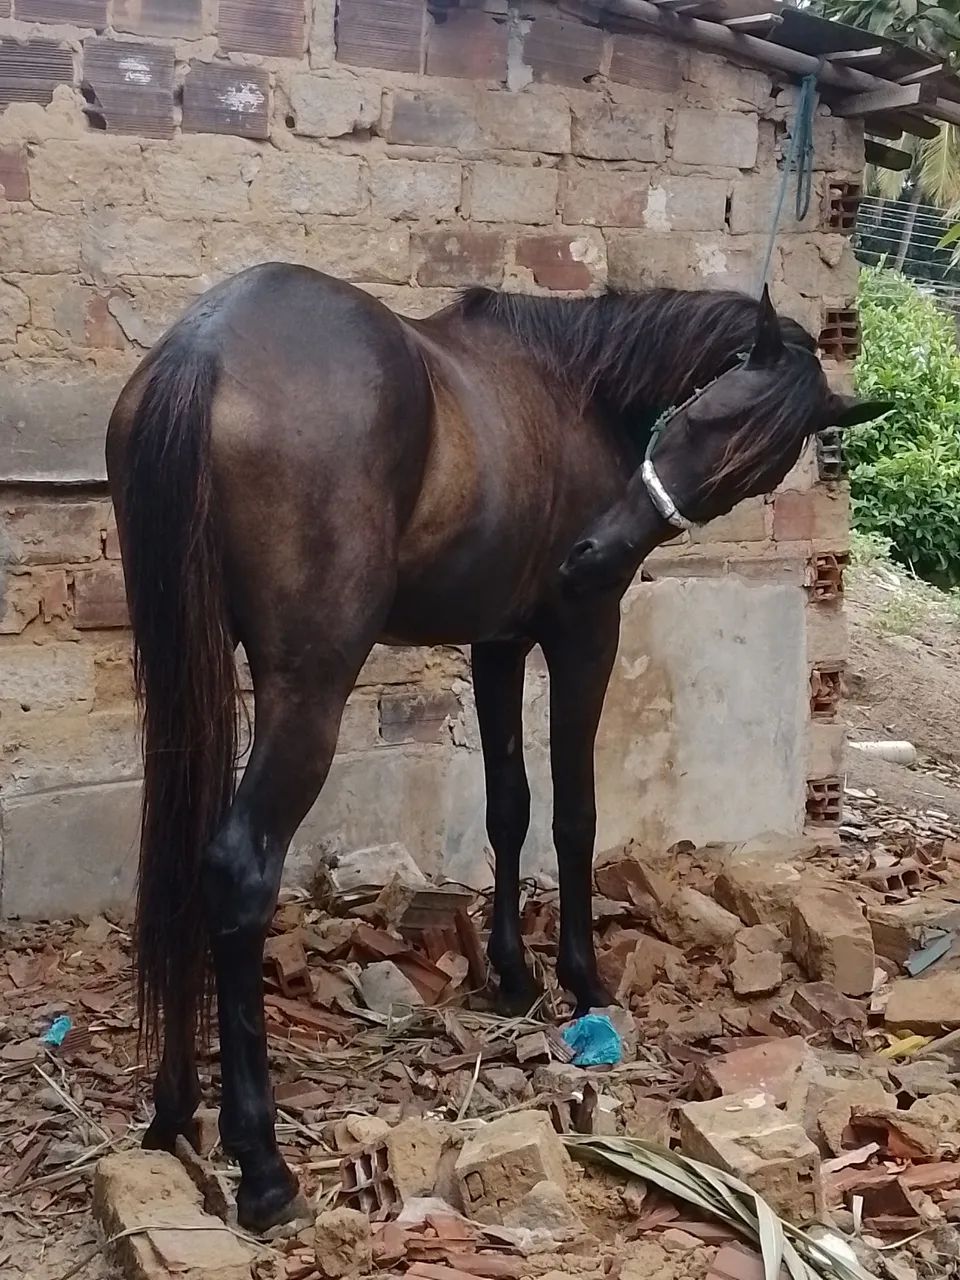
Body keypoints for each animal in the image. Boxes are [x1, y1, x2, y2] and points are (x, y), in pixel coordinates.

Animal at [105, 264, 887, 1232]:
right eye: (706, 418)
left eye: (753, 470)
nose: (591, 555)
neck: (576, 381)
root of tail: (207, 348)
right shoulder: (584, 632)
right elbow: (576, 814)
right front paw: (583, 978)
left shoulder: (499, 642)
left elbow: (508, 806)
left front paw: (511, 975)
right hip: (307, 689)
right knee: (238, 870)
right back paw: (261, 1165)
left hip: (186, 675)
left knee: (181, 855)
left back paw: (174, 1112)